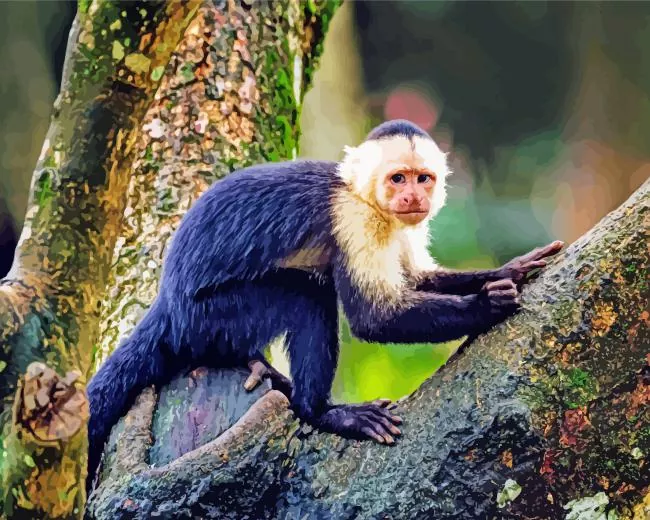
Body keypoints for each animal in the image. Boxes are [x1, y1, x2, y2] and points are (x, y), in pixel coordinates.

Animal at [86, 119, 563, 487]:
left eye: (422, 177)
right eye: (398, 178)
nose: (414, 198)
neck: (363, 196)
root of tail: (167, 302)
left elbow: (417, 278)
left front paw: (512, 269)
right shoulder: (354, 221)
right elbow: (374, 319)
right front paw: (486, 306)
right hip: (206, 314)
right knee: (308, 298)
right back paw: (319, 411)